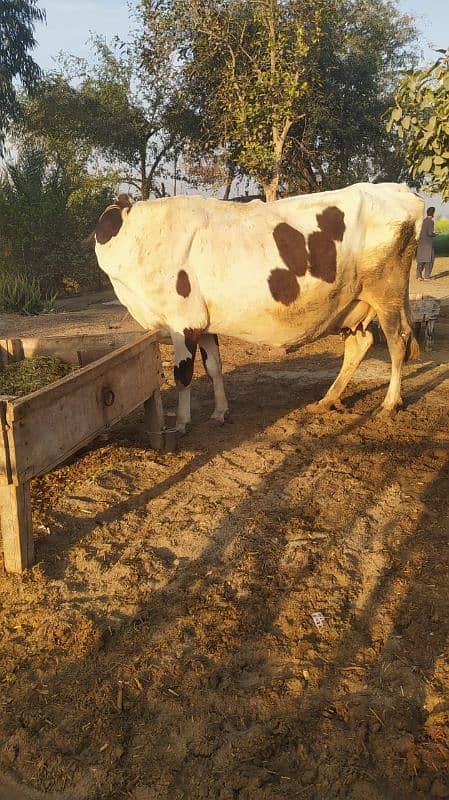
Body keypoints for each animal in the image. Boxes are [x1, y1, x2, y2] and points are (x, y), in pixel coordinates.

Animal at [94, 183, 424, 432]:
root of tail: (400, 191)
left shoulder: (182, 322)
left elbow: (183, 375)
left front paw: (182, 423)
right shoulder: (204, 323)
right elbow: (214, 368)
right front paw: (220, 412)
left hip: (387, 292)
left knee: (397, 341)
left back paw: (389, 403)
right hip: (352, 302)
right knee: (360, 344)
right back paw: (328, 400)